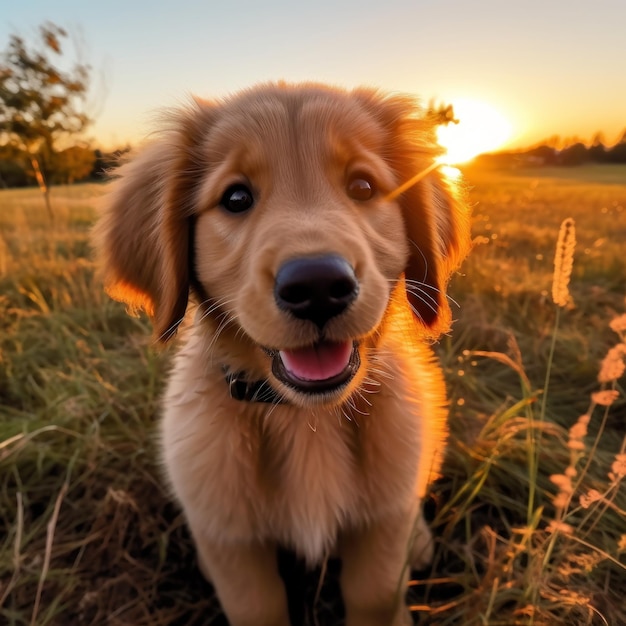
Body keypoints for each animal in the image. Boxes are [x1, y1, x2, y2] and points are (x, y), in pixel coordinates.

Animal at [95, 84, 468, 624]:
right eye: (235, 198)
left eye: (362, 186)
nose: (318, 286)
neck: (304, 419)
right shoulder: (232, 542)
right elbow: (257, 607)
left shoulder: (379, 532)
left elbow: (375, 595)